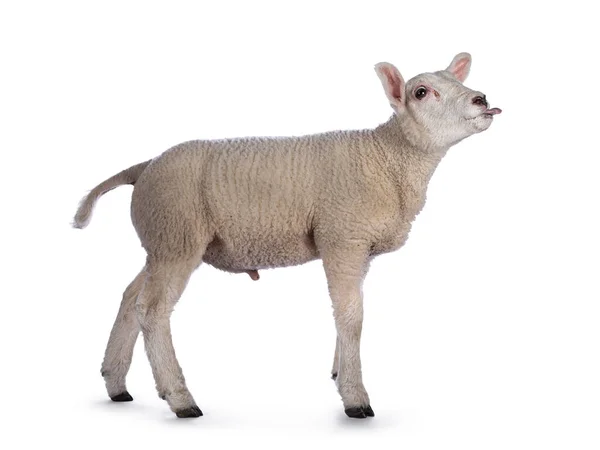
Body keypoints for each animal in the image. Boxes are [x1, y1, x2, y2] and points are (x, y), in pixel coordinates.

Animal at [72, 52, 500, 418]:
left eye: (458, 82)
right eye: (421, 92)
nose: (482, 100)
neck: (388, 157)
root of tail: (144, 167)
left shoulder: (359, 247)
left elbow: (348, 312)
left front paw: (338, 372)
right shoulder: (342, 237)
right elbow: (351, 316)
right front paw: (355, 396)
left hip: (161, 239)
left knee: (130, 298)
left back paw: (115, 382)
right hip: (178, 236)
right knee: (152, 309)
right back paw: (181, 399)